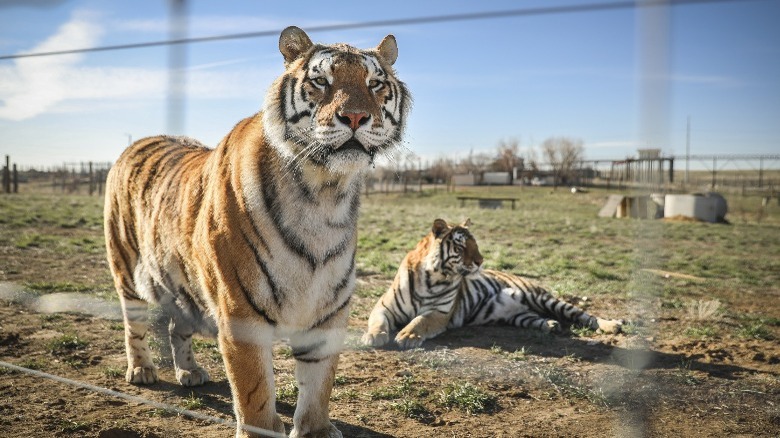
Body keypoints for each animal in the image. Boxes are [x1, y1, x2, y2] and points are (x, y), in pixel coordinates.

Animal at [105, 27, 408, 438]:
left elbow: (319, 383)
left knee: (176, 326)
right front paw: (260, 428)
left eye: (374, 83)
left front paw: (316, 430)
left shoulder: (328, 310)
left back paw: (190, 371)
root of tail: (137, 141)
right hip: (126, 268)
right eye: (321, 81)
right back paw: (141, 370)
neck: (324, 192)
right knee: (133, 323)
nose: (356, 116)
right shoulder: (240, 312)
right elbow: (254, 392)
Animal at [362, 219, 624, 350]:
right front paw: (372, 336)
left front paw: (407, 336)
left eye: (475, 244)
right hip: (519, 315)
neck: (431, 276)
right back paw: (551, 325)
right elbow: (377, 321)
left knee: (584, 315)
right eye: (461, 246)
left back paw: (612, 325)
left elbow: (419, 320)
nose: (480, 261)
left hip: (543, 297)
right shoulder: (383, 307)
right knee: (536, 318)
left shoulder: (440, 313)